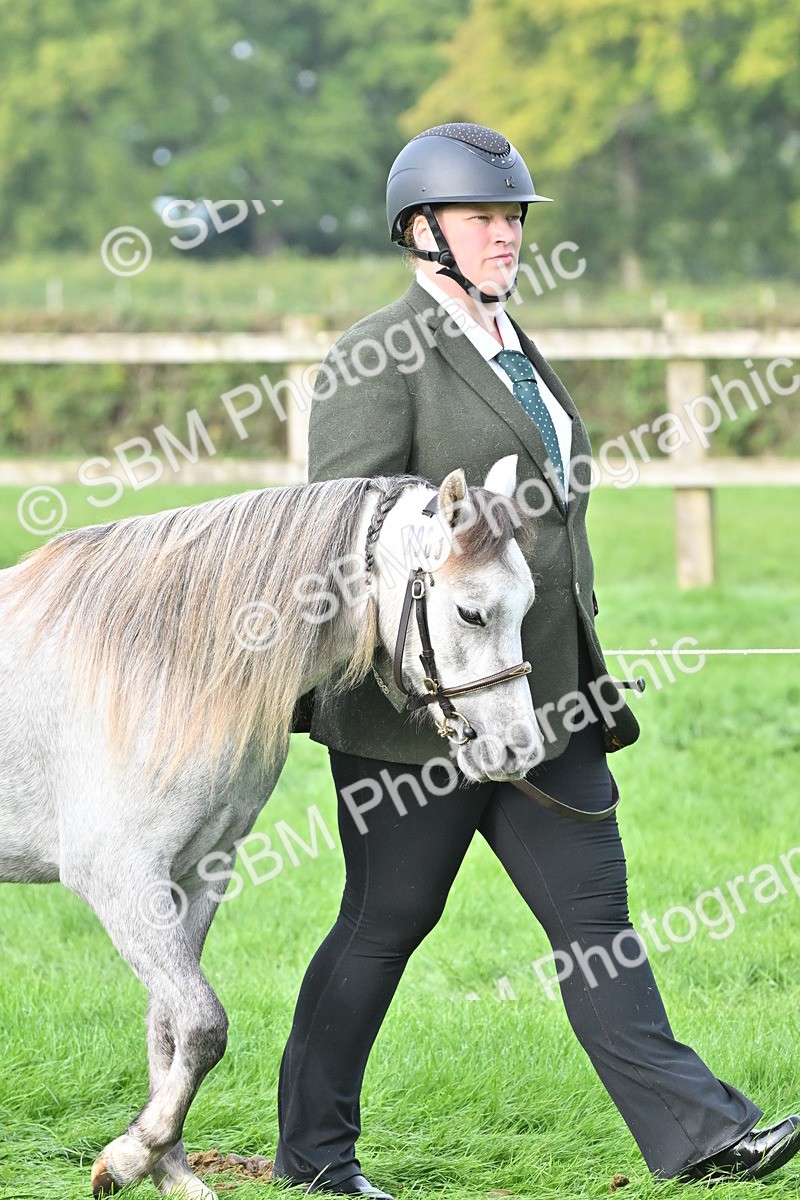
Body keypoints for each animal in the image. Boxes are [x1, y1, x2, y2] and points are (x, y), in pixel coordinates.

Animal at [0, 454, 542, 1198]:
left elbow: (170, 1026)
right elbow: (204, 1024)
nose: (519, 752)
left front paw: (170, 1172)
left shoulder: (198, 874)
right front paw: (132, 1156)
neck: (162, 663)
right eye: (471, 611)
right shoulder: (119, 880)